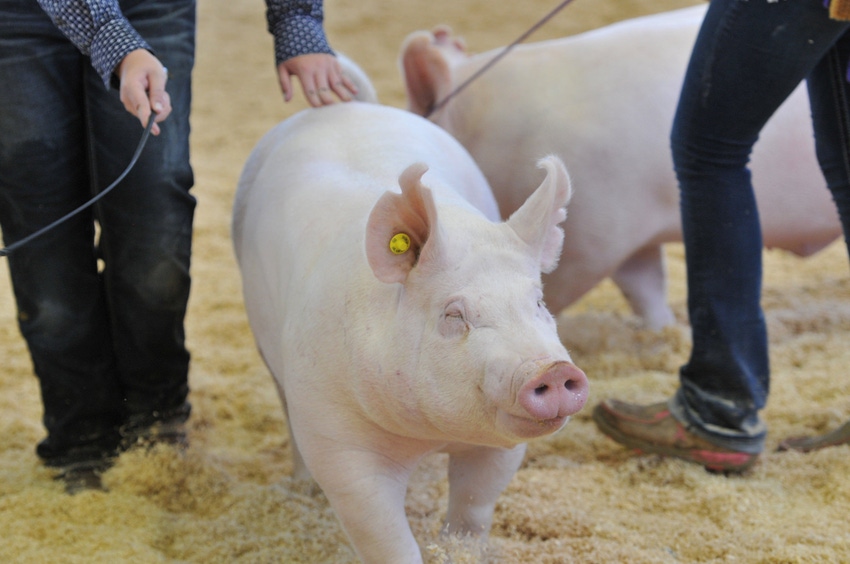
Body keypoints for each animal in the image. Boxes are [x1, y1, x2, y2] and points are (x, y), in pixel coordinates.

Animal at [232, 99, 588, 560]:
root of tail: (347, 103)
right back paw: (302, 486)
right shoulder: (338, 440)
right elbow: (382, 534)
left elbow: (474, 506)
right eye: (454, 315)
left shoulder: (503, 446)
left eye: (539, 303)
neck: (428, 436)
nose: (554, 370)